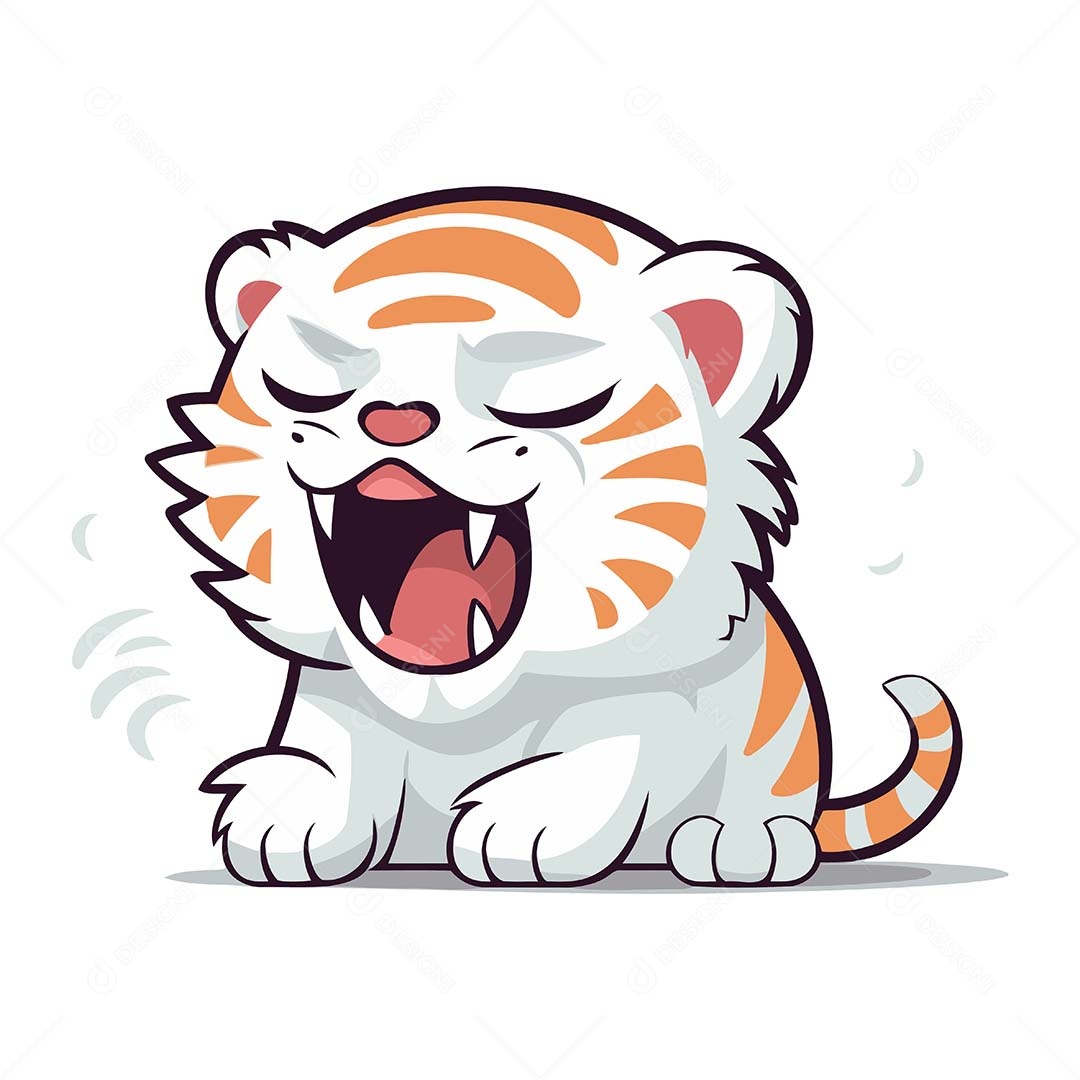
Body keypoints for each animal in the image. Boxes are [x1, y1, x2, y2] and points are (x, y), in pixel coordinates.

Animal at [148, 186, 962, 887]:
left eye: (535, 388)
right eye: (317, 379)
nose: (394, 419)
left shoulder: (649, 701)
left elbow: (604, 750)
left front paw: (519, 828)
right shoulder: (335, 690)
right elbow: (337, 747)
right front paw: (288, 813)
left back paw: (739, 844)